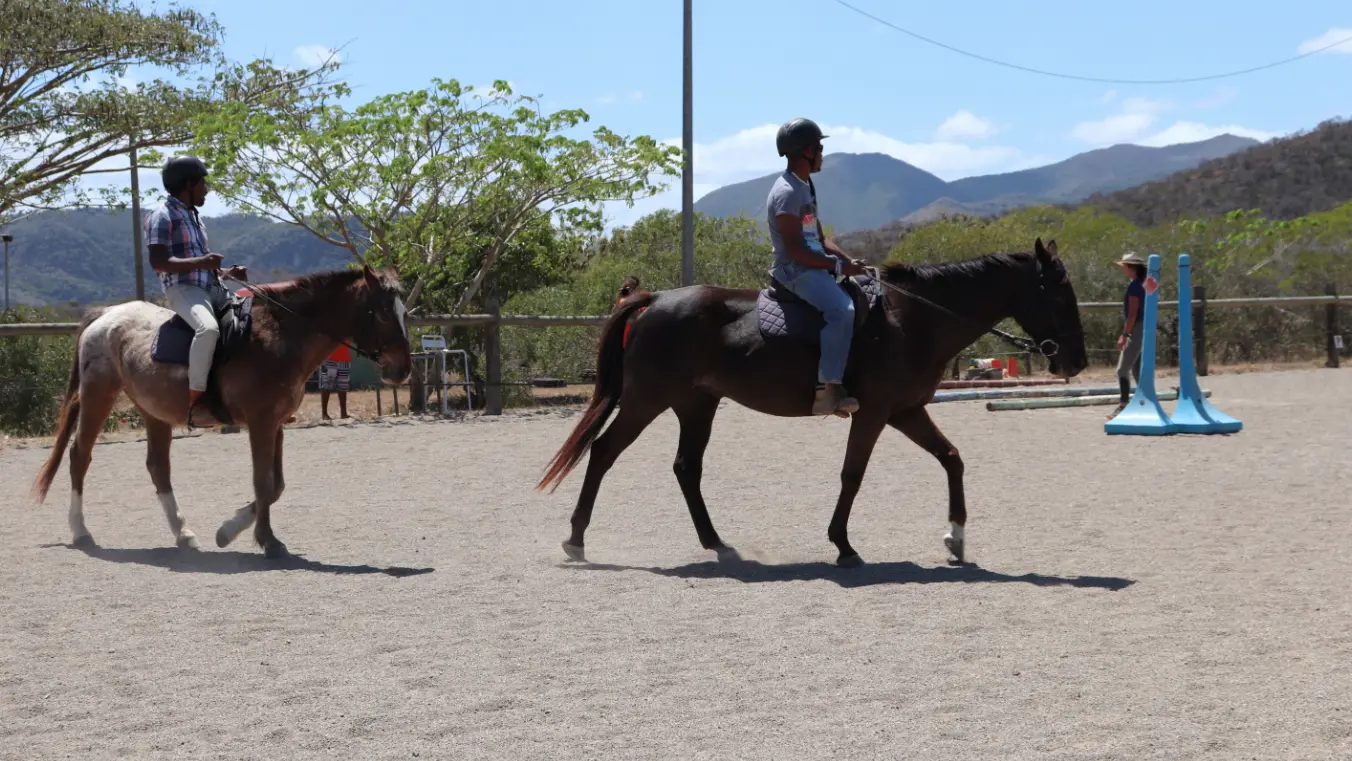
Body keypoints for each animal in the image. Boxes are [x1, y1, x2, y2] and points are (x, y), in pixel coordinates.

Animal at [30, 267, 411, 559]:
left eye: (404, 313)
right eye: (381, 313)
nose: (403, 370)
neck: (279, 335)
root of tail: (105, 316)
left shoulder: (277, 424)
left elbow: (275, 486)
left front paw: (228, 531)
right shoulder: (260, 422)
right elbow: (264, 482)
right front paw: (268, 542)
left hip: (153, 410)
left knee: (158, 467)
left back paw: (184, 534)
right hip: (99, 397)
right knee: (80, 456)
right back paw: (81, 531)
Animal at [538, 237, 1087, 565]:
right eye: (1059, 292)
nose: (1076, 361)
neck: (913, 320)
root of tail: (653, 300)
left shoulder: (906, 411)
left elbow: (952, 458)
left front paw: (956, 539)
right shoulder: (875, 414)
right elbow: (852, 475)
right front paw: (843, 545)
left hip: (696, 405)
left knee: (685, 468)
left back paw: (716, 542)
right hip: (646, 401)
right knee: (603, 453)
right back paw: (576, 539)